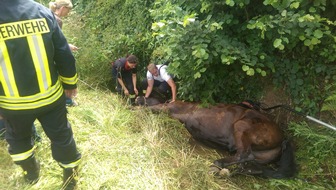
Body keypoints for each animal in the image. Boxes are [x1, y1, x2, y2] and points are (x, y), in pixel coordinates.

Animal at [140, 98, 296, 179]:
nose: (139, 97)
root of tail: (282, 138)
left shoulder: (168, 108)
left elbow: (149, 108)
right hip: (259, 157)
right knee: (248, 166)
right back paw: (224, 171)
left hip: (241, 126)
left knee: (244, 155)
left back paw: (216, 165)